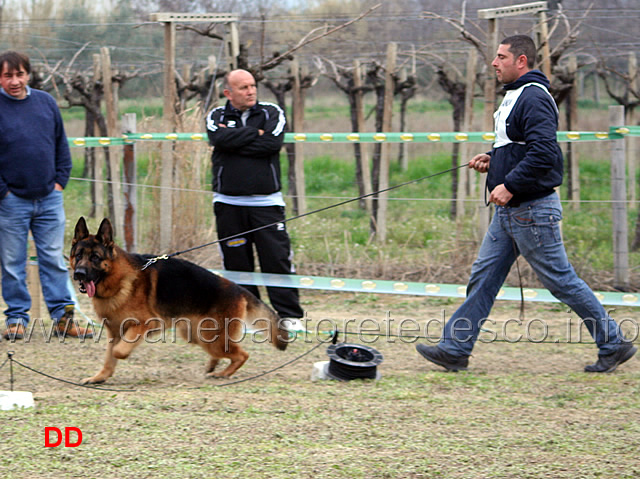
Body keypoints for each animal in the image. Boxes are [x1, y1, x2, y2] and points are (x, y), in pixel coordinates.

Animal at [71, 218, 288, 386]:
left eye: (96, 257)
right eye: (78, 256)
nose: (78, 274)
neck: (118, 279)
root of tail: (240, 289)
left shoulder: (147, 323)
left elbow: (118, 351)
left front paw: (120, 357)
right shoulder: (114, 332)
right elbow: (109, 358)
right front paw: (99, 377)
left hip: (210, 337)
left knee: (242, 355)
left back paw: (223, 373)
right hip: (196, 334)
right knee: (227, 353)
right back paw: (214, 366)